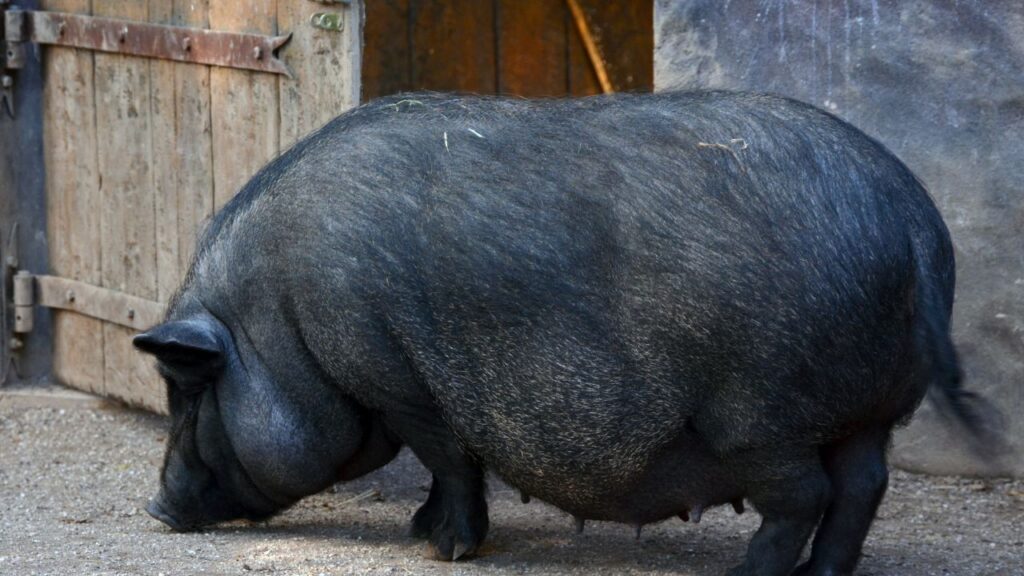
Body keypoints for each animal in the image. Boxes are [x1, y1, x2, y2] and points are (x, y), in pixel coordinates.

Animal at [134, 91, 998, 576]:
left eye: (187, 390)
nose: (155, 511)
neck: (280, 316)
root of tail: (915, 224)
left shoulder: (402, 379)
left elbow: (451, 462)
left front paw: (443, 549)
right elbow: (447, 468)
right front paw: (418, 530)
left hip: (762, 415)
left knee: (804, 496)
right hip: (868, 410)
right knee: (863, 487)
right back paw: (826, 575)